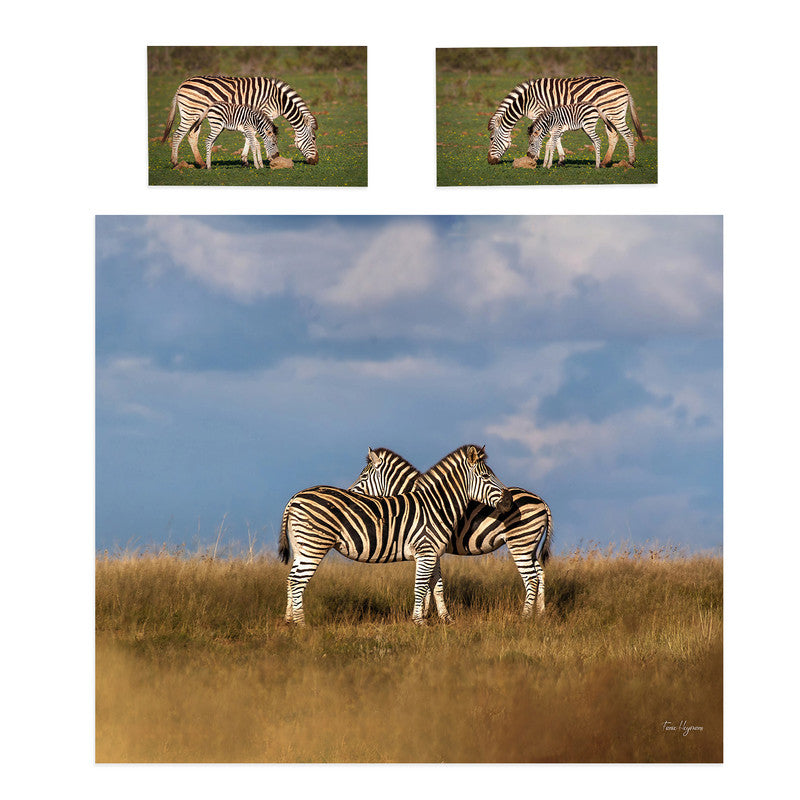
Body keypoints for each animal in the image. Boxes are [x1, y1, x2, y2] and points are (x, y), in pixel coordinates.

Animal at [161, 75, 318, 167]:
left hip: (197, 116)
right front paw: (270, 158)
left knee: (192, 136)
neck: (278, 100)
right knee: (177, 134)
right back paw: (175, 162)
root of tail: (182, 83)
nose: (316, 161)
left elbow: (250, 136)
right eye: (314, 138)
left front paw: (244, 159)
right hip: (190, 113)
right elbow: (259, 136)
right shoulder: (264, 112)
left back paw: (201, 163)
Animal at [278, 445, 512, 626]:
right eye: (486, 476)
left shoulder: (433, 553)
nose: (508, 501)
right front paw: (419, 621)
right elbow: (420, 586)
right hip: (314, 545)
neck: (436, 506)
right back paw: (302, 624)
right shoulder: (426, 551)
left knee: (290, 579)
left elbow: (437, 585)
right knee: (297, 581)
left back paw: (289, 621)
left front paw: (446, 619)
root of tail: (295, 497)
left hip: (302, 547)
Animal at [349, 447, 552, 618]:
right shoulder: (431, 548)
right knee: (540, 574)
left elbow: (428, 584)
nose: (350, 493)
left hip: (520, 542)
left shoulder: (427, 546)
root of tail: (541, 501)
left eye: (363, 475)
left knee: (531, 578)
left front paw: (424, 613)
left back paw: (525, 617)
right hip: (529, 544)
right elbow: (432, 583)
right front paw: (428, 612)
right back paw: (540, 614)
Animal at [487, 76, 644, 166]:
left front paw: (535, 158)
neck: (526, 101)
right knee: (614, 135)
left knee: (628, 134)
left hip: (614, 113)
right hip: (608, 116)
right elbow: (555, 137)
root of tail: (622, 83)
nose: (489, 161)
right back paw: (605, 162)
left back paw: (630, 161)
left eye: (491, 138)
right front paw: (561, 159)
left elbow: (546, 137)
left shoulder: (541, 112)